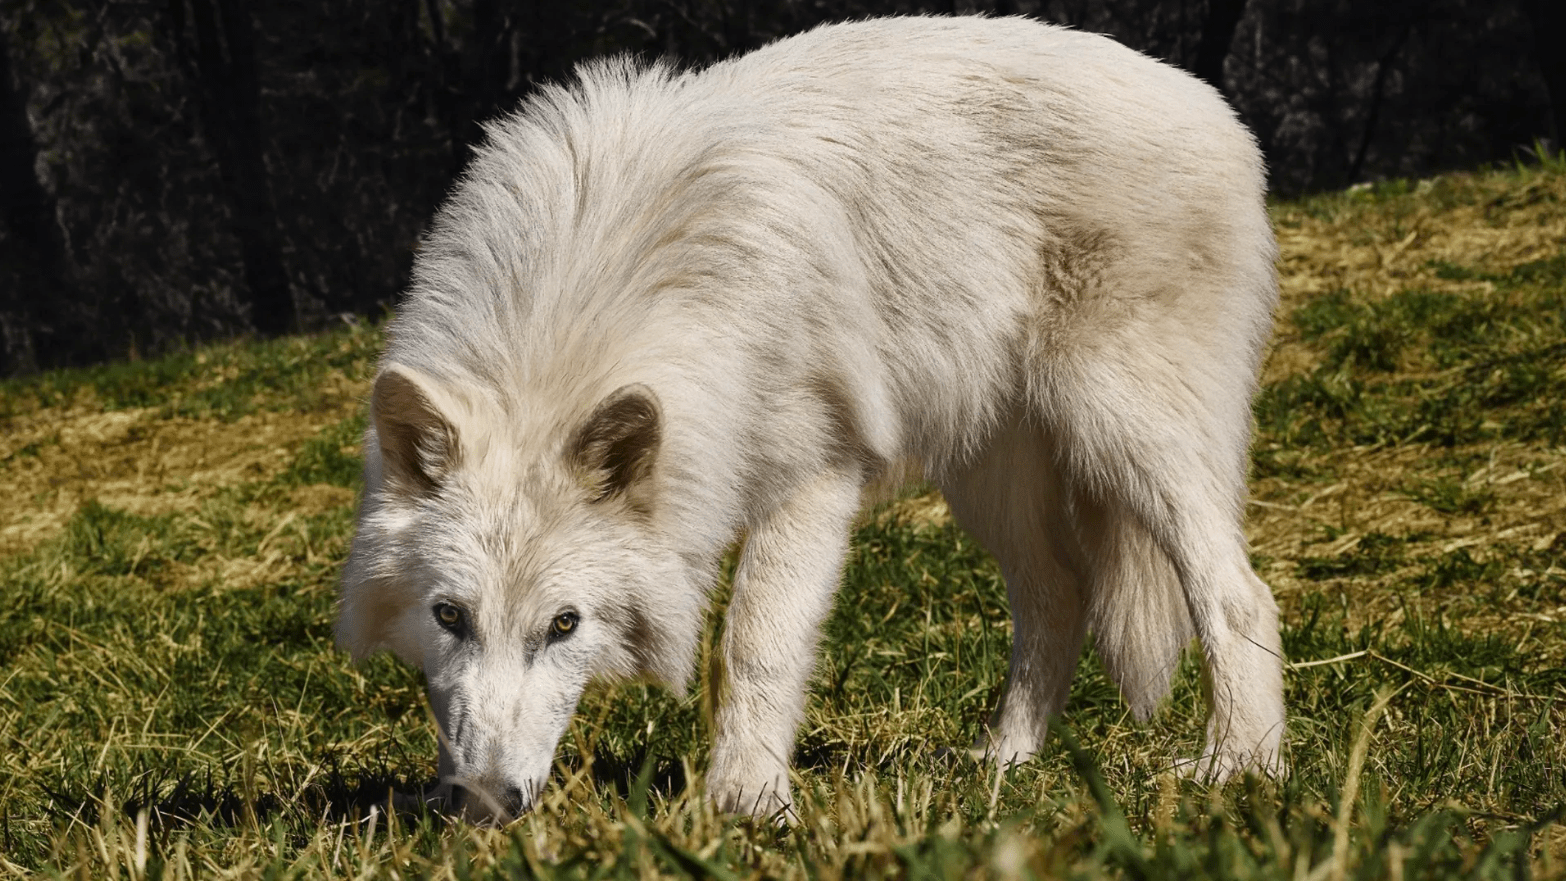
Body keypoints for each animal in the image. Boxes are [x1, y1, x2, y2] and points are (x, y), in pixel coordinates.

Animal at [337, 15, 1285, 823]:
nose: (482, 806)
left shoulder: (815, 477)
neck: (593, 296)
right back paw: (1005, 763)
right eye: (449, 616)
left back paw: (1240, 766)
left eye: (564, 624)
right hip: (991, 479)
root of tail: (1213, 105)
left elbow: (756, 643)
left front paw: (747, 804)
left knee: (1238, 593)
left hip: (1125, 434)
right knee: (1059, 596)